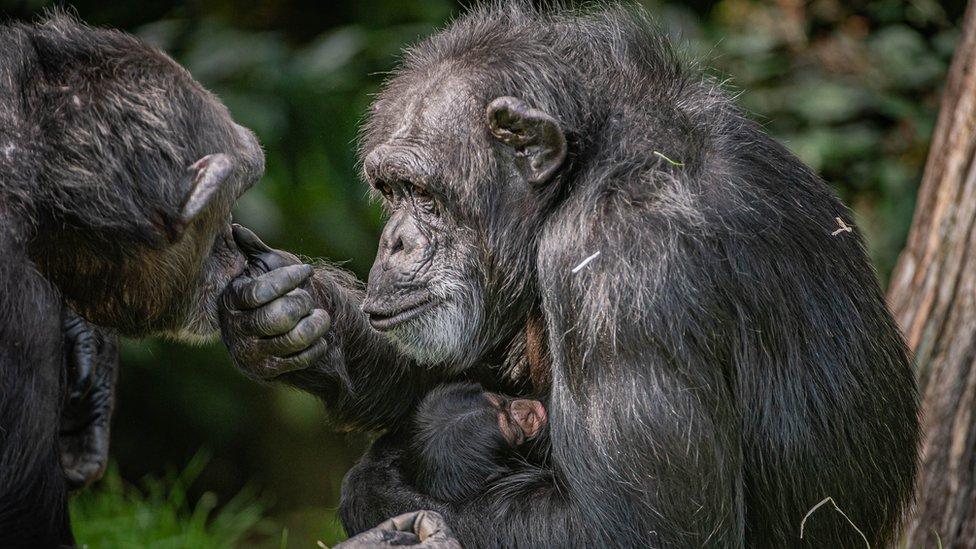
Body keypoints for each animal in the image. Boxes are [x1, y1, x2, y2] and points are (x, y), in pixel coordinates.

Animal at [219, 2, 916, 544]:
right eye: (390, 191)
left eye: (424, 194)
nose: (394, 240)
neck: (582, 173)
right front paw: (293, 317)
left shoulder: (622, 269)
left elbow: (640, 530)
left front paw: (381, 492)